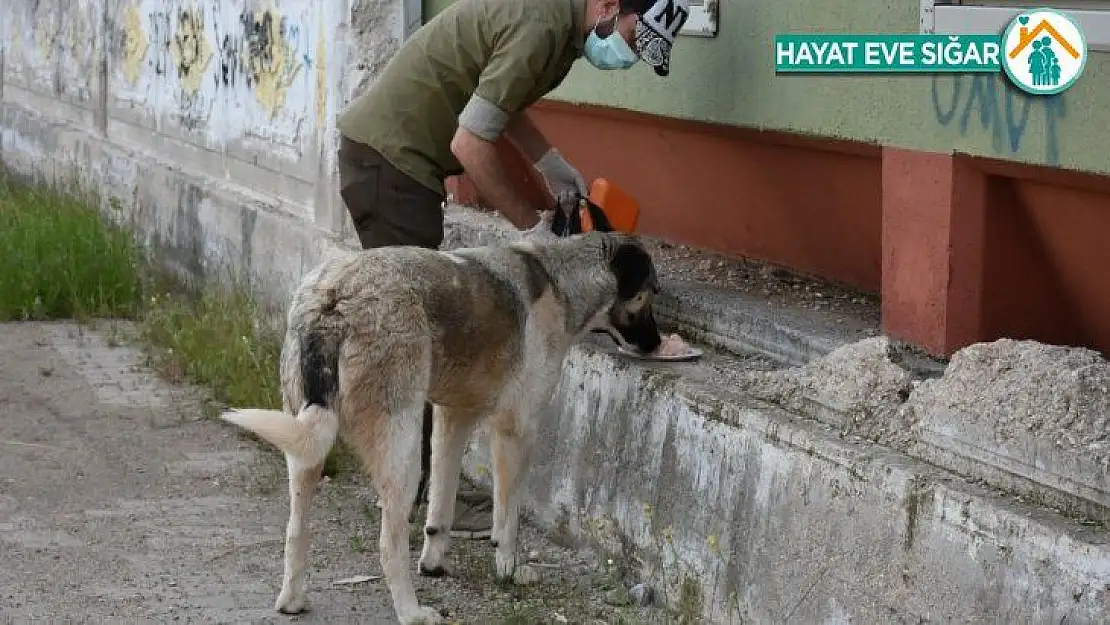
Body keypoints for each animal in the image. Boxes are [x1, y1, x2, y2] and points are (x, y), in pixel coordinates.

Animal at [220, 230, 661, 625]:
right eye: (650, 294)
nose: (657, 345)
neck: (560, 280)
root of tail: (334, 297)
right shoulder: (515, 431)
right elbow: (508, 517)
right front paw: (509, 568)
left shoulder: (452, 418)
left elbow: (441, 504)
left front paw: (433, 563)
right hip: (402, 448)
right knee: (389, 542)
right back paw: (411, 612)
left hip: (304, 447)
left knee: (296, 530)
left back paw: (293, 600)